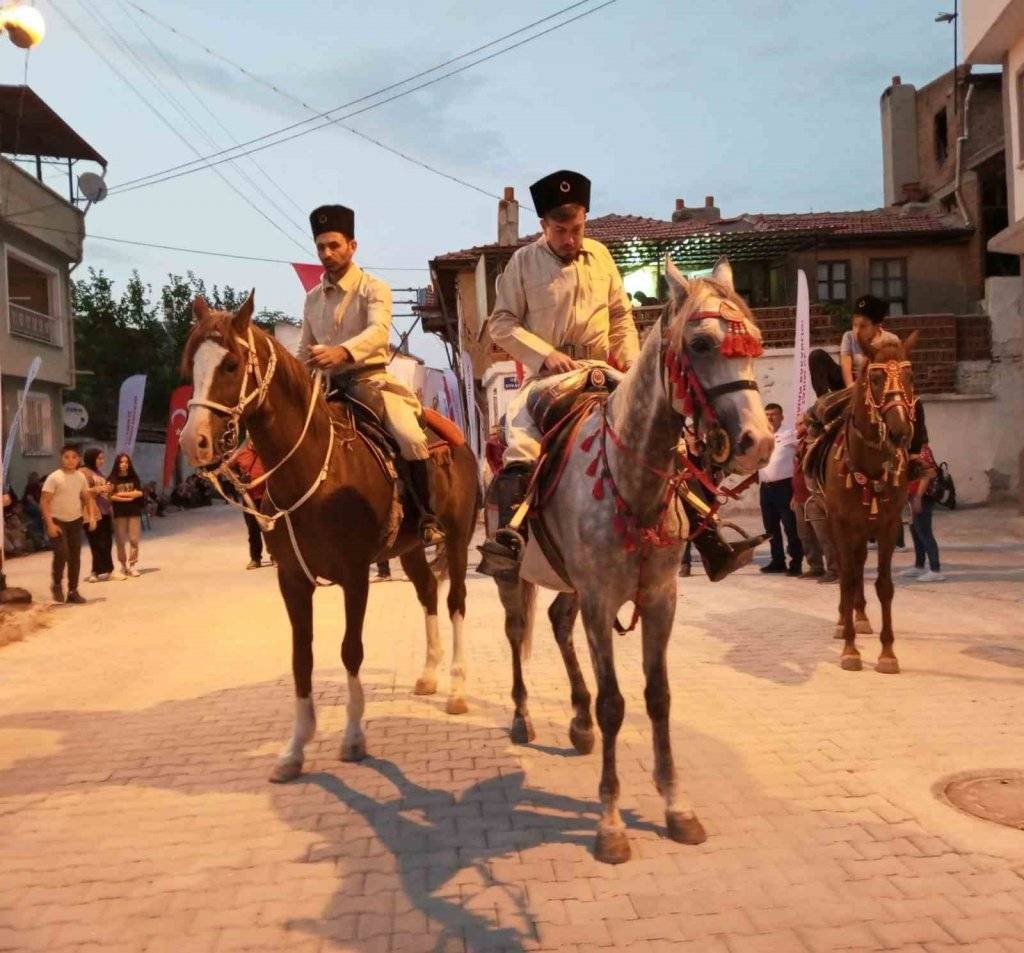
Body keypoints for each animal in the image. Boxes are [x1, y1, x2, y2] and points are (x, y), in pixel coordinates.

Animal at [177, 294, 479, 777]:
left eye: (231, 364)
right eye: (191, 365)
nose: (194, 441)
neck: (316, 467)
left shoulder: (355, 575)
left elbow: (350, 650)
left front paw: (353, 737)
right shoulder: (292, 580)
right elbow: (302, 657)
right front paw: (295, 748)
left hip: (455, 540)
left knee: (455, 602)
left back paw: (456, 689)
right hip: (412, 547)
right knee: (429, 593)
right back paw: (429, 675)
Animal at [491, 258, 770, 863]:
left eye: (755, 343)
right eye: (700, 343)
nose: (758, 443)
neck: (632, 481)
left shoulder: (660, 599)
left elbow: (657, 698)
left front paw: (676, 806)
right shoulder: (600, 603)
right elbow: (615, 704)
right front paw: (611, 823)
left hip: (569, 585)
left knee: (557, 623)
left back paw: (576, 723)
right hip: (512, 576)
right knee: (518, 633)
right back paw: (524, 717)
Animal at [823, 331, 921, 675]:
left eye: (910, 376)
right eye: (876, 378)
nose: (900, 430)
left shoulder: (888, 525)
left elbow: (884, 585)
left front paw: (887, 653)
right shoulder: (841, 523)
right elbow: (847, 578)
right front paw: (850, 650)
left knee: (859, 564)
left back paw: (861, 617)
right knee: (846, 569)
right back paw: (844, 621)